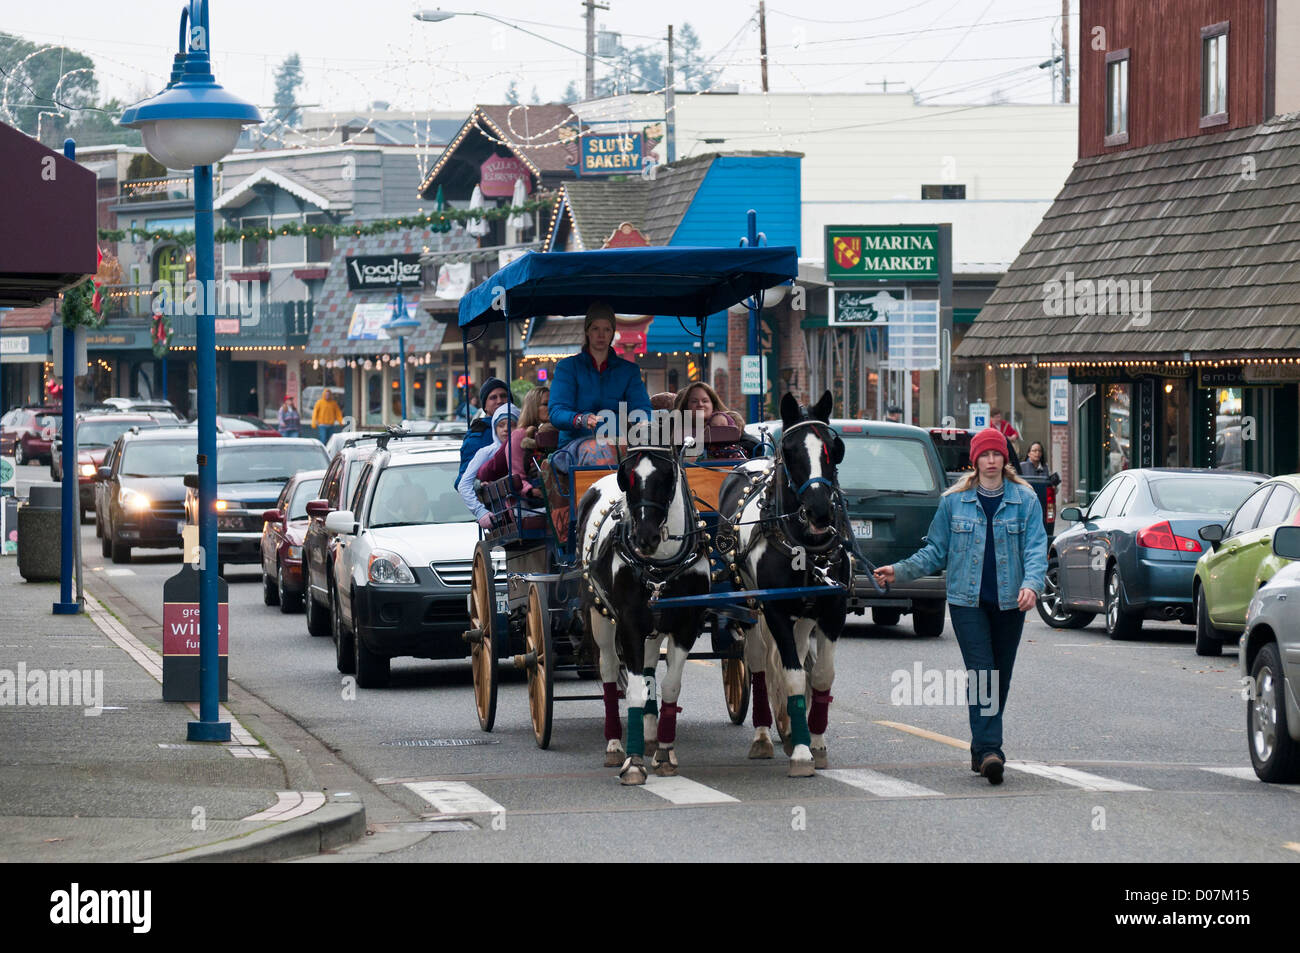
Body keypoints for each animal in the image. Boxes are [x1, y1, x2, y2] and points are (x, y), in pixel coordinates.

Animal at [577, 439, 712, 780]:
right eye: (629, 477)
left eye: (666, 476)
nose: (645, 537)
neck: (660, 563)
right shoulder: (629, 625)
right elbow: (635, 690)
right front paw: (634, 762)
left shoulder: (685, 626)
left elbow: (670, 686)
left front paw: (664, 752)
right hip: (600, 616)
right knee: (609, 671)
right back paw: (614, 745)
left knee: (650, 667)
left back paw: (650, 735)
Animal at [717, 390, 847, 774]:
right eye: (789, 451)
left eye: (834, 448)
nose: (820, 511)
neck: (804, 544)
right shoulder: (774, 609)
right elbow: (790, 676)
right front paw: (802, 753)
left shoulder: (832, 610)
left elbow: (819, 675)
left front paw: (815, 743)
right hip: (750, 605)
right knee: (759, 661)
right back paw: (762, 736)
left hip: (802, 615)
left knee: (800, 655)